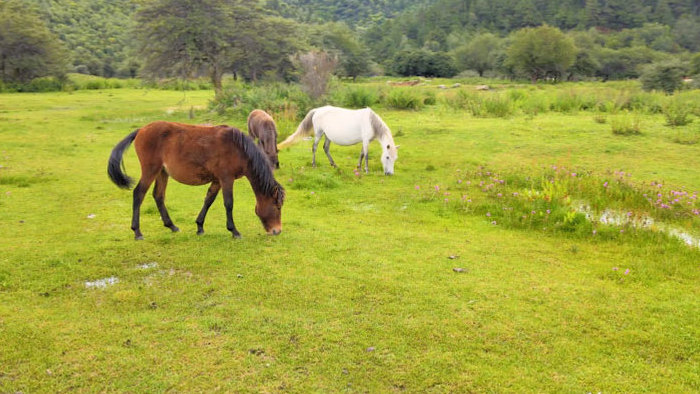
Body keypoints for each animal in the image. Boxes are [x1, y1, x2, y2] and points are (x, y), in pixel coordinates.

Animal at [106, 121, 284, 240]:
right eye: (277, 206)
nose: (277, 231)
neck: (238, 149)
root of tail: (141, 130)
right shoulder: (226, 179)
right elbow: (228, 203)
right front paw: (234, 231)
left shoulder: (217, 180)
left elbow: (208, 200)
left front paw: (199, 226)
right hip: (150, 170)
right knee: (139, 194)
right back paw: (137, 231)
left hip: (162, 172)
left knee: (158, 196)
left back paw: (171, 226)